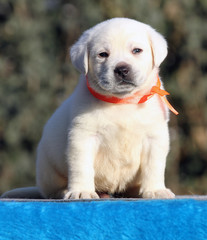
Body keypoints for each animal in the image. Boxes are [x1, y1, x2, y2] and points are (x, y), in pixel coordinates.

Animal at [1, 17, 176, 200]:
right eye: (103, 54)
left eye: (136, 50)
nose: (122, 69)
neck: (122, 101)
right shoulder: (83, 137)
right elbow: (81, 167)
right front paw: (81, 191)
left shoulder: (154, 138)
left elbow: (154, 166)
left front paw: (155, 190)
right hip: (48, 170)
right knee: (51, 190)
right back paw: (64, 191)